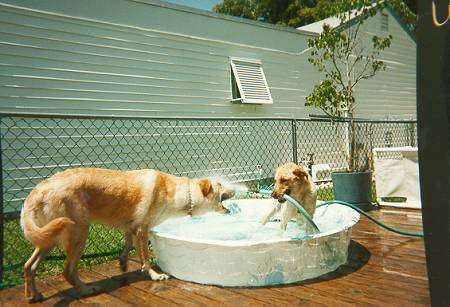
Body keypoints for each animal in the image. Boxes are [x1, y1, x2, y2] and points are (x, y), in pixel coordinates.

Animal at [19, 168, 234, 304]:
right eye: (221, 184)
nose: (234, 188)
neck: (179, 193)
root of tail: (38, 190)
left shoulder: (131, 227)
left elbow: (128, 244)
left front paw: (123, 262)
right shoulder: (142, 229)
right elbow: (145, 258)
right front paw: (154, 275)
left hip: (48, 238)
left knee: (29, 266)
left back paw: (33, 295)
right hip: (79, 232)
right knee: (67, 271)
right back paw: (85, 290)